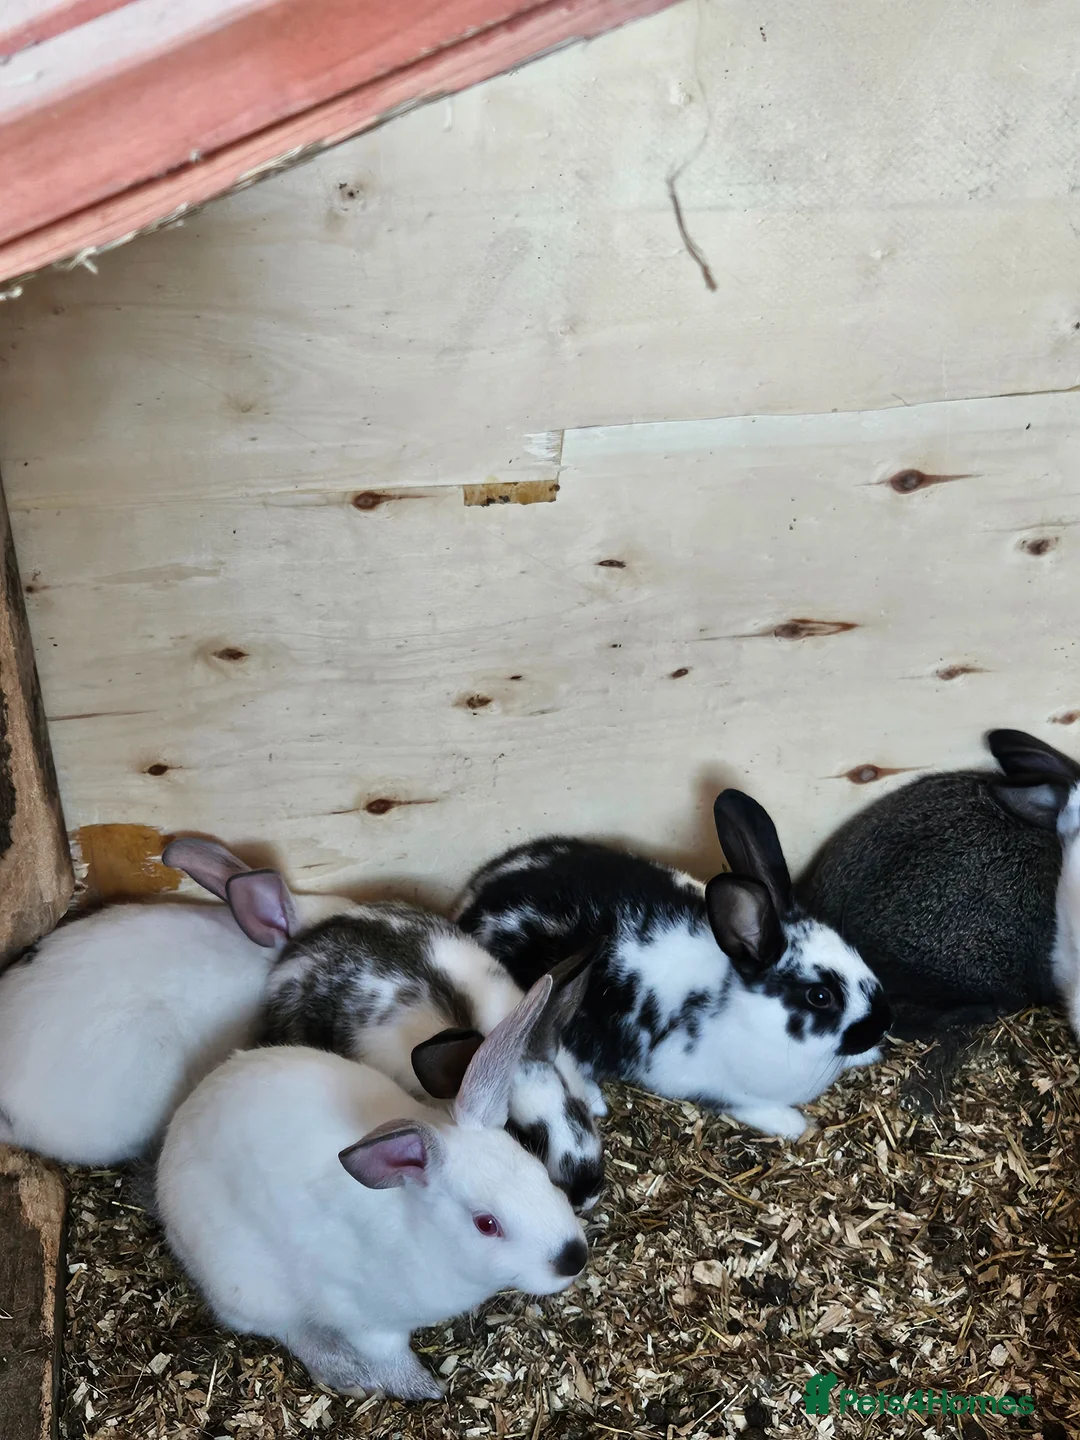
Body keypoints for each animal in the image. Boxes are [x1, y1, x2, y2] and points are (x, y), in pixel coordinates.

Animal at [155, 972, 588, 1402]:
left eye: (538, 1169)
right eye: (486, 1224)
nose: (574, 1258)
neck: (422, 1231)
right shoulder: (363, 1317)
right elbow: (388, 1353)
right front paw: (424, 1388)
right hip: (248, 1284)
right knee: (286, 1329)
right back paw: (346, 1373)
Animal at [453, 790, 890, 1141]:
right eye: (820, 996)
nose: (882, 1025)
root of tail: (470, 901)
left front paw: (868, 1055)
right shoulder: (705, 1084)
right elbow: (745, 1106)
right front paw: (795, 1125)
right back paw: (595, 1100)